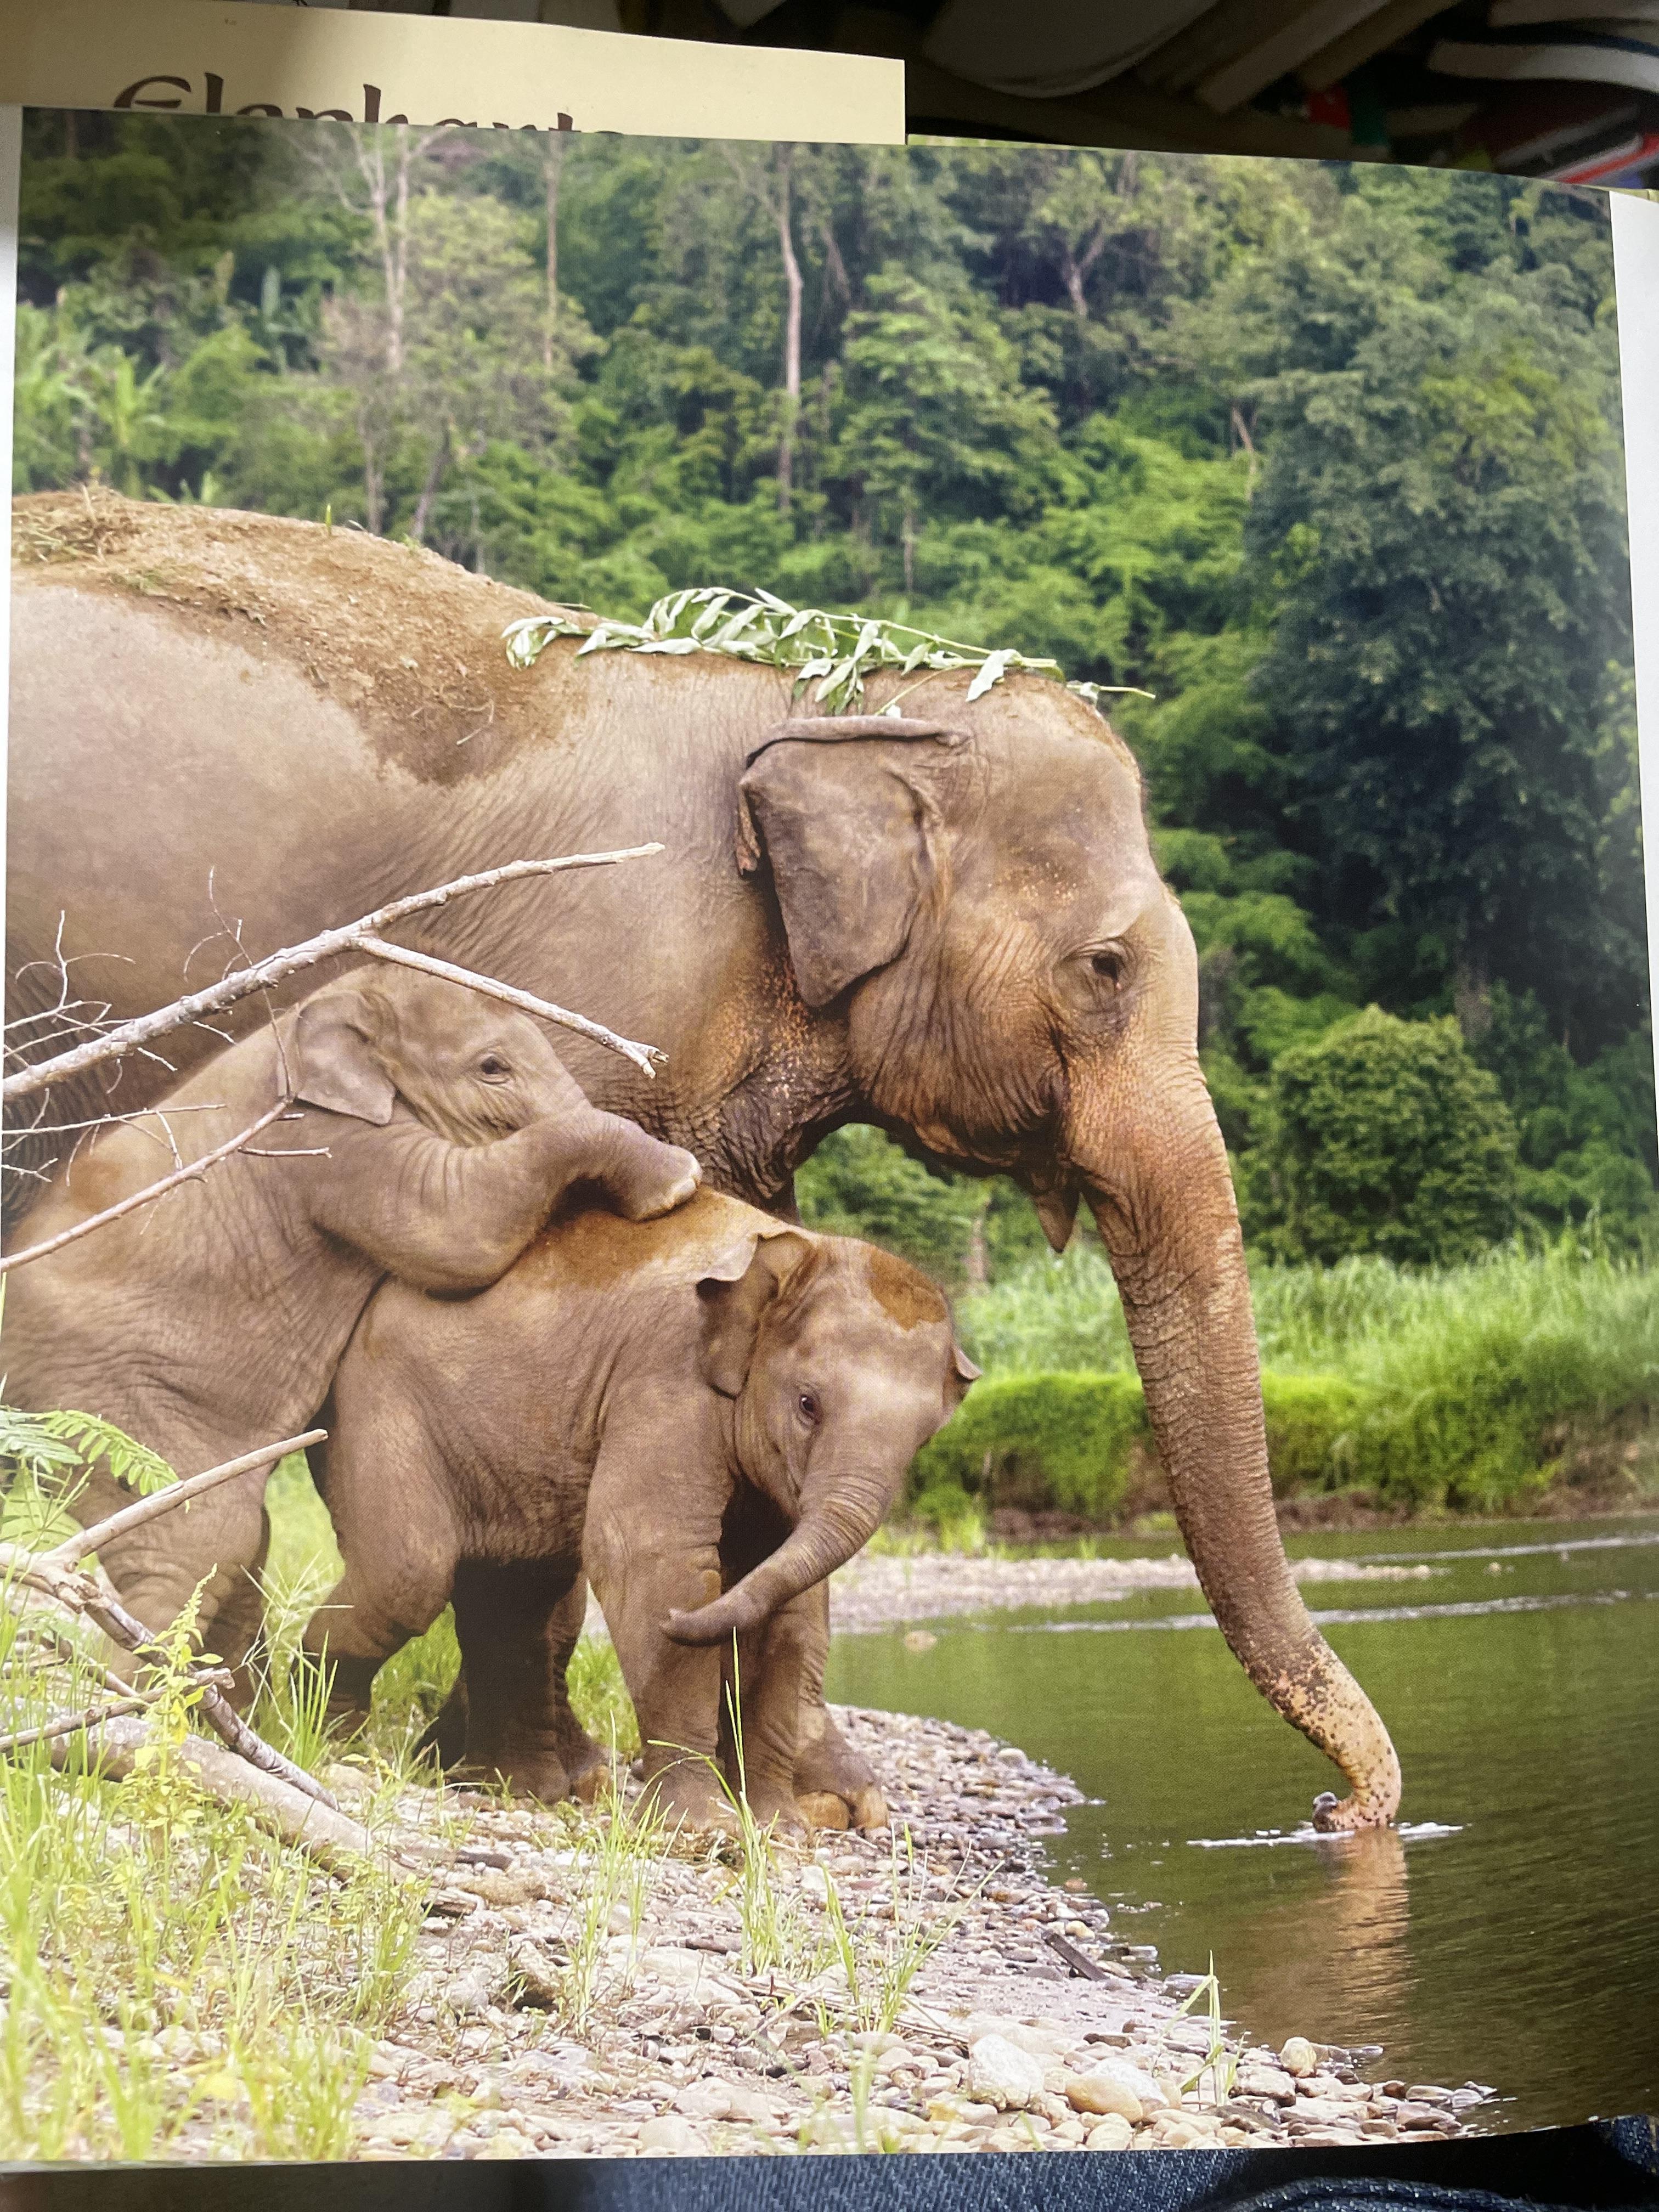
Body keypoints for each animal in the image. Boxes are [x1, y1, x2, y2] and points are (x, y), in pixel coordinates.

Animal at [1, 962, 701, 1683]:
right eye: (491, 1068)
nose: (689, 1185)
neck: (340, 1001)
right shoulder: (331, 1144)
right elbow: (455, 1227)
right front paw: (677, 1184)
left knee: (237, 1548)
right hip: (106, 1405)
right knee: (201, 1545)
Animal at [300, 1189, 975, 1829]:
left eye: (924, 1441)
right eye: (808, 1405)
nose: (680, 1619)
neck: (792, 1253)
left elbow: (792, 1609)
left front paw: (779, 1833)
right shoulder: (666, 1379)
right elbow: (648, 1556)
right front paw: (710, 1832)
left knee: (514, 1594)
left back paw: (516, 1790)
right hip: (376, 1412)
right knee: (407, 1578)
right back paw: (331, 1742)